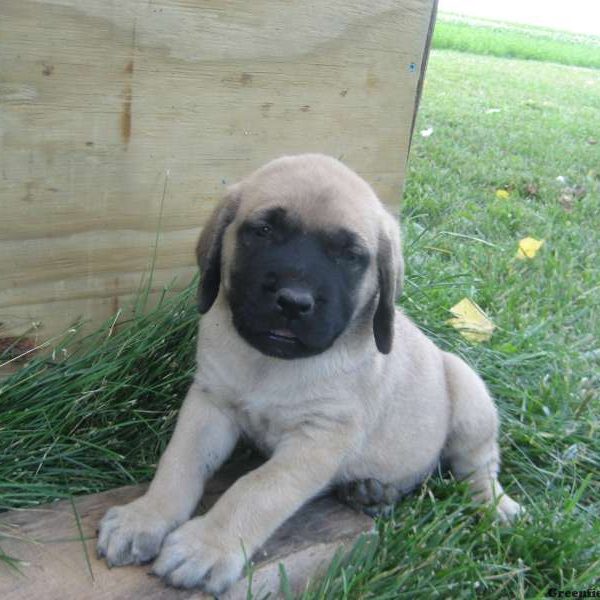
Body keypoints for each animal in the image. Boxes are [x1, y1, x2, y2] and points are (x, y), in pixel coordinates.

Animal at [97, 155, 520, 596]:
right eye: (264, 231)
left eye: (350, 256)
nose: (293, 302)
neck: (270, 366)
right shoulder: (210, 402)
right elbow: (179, 463)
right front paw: (145, 516)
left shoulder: (319, 439)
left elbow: (257, 489)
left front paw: (206, 545)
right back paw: (372, 492)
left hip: (467, 390)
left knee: (479, 464)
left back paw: (495, 504)